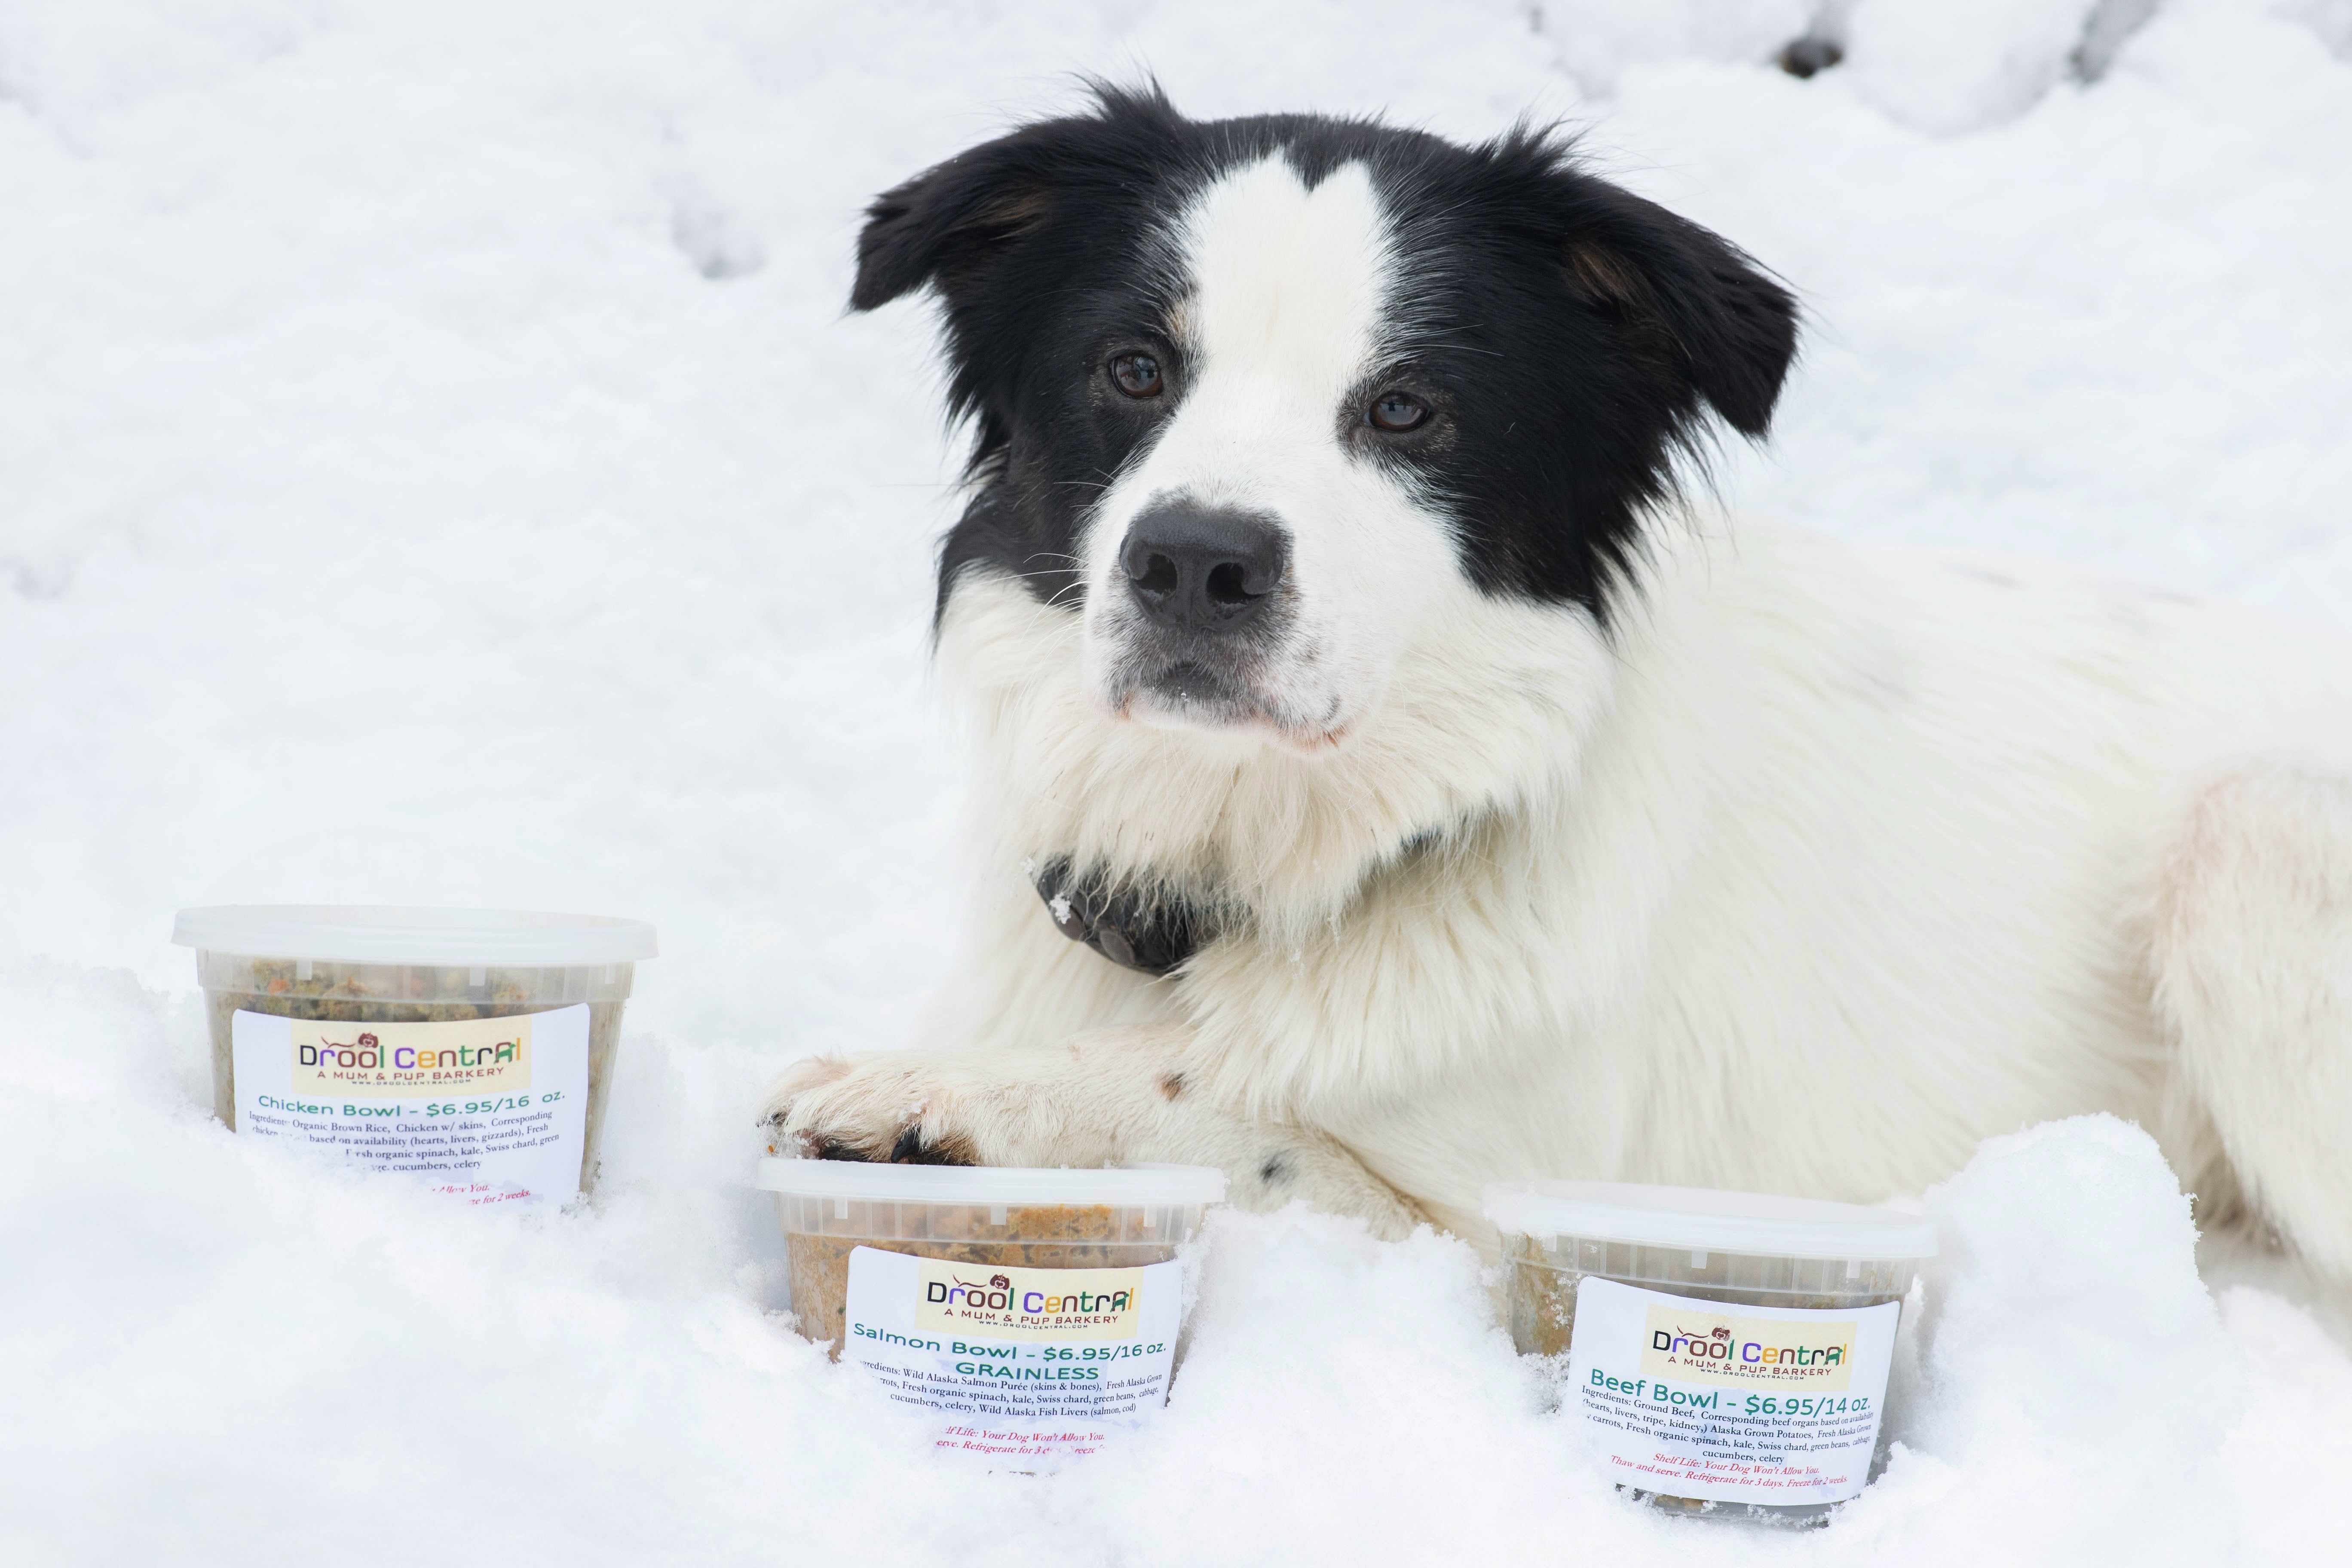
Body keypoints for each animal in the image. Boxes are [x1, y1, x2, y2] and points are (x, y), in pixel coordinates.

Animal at [766, 86, 2352, 1279]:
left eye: (1408, 409)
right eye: (1136, 369)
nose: (1195, 563)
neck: (1279, 858)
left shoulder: (1478, 1226)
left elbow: (1217, 1096)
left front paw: (937, 1093)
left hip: (2251, 839)